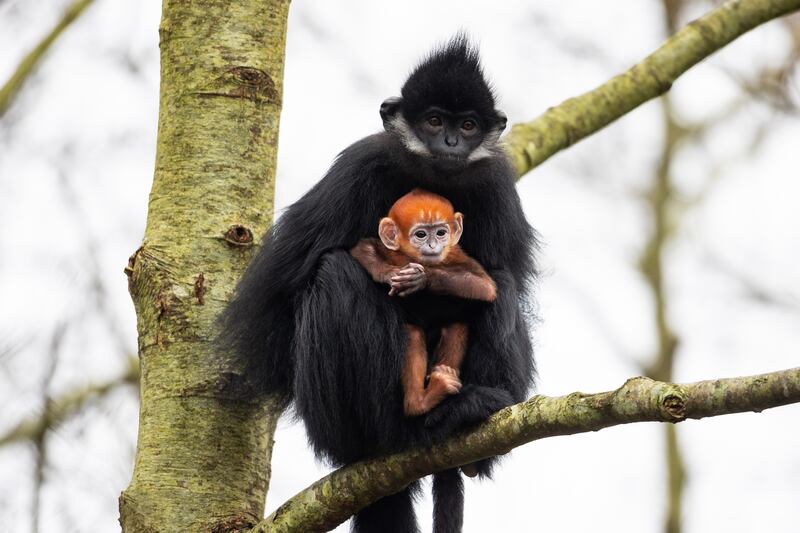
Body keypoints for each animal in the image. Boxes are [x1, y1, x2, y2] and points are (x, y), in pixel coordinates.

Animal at [350, 189, 497, 419]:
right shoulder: (390, 249)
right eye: (421, 235)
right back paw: (418, 403)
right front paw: (389, 273)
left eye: (441, 233)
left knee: (456, 324)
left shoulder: (455, 253)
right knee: (412, 333)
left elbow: (485, 286)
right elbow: (362, 248)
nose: (433, 246)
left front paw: (422, 278)